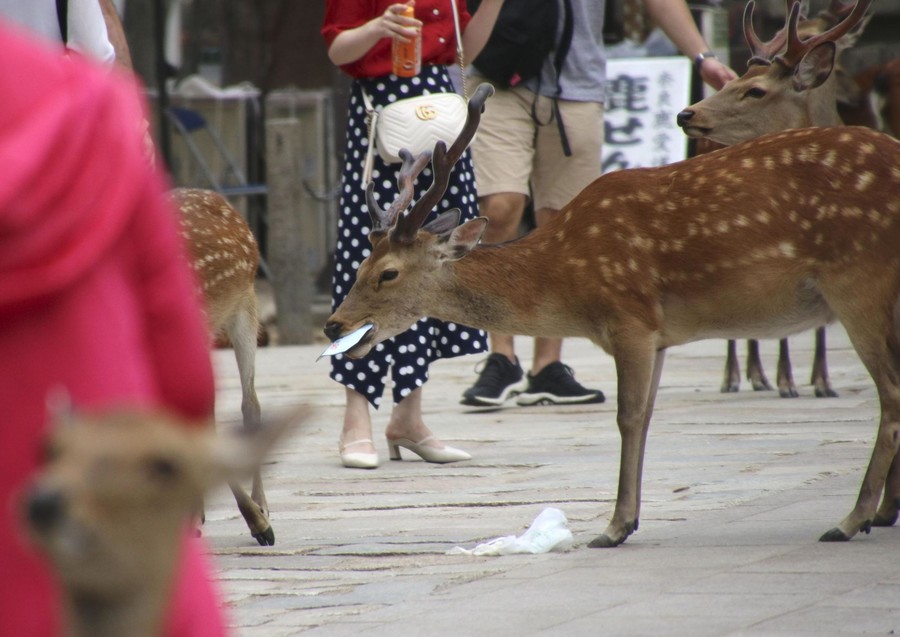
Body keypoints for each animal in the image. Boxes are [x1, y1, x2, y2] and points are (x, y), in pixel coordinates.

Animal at [326, 80, 900, 548]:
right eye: (359, 264)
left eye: (387, 274)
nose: (334, 324)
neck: (568, 286)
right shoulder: (660, 335)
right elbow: (645, 417)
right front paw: (628, 519)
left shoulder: (630, 317)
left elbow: (627, 417)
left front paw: (614, 526)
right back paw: (883, 513)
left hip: (857, 276)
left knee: (890, 392)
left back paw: (852, 519)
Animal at [676, 0, 872, 400]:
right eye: (732, 83)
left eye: (756, 90)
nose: (686, 113)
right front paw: (786, 380)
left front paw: (821, 380)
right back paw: (739, 375)